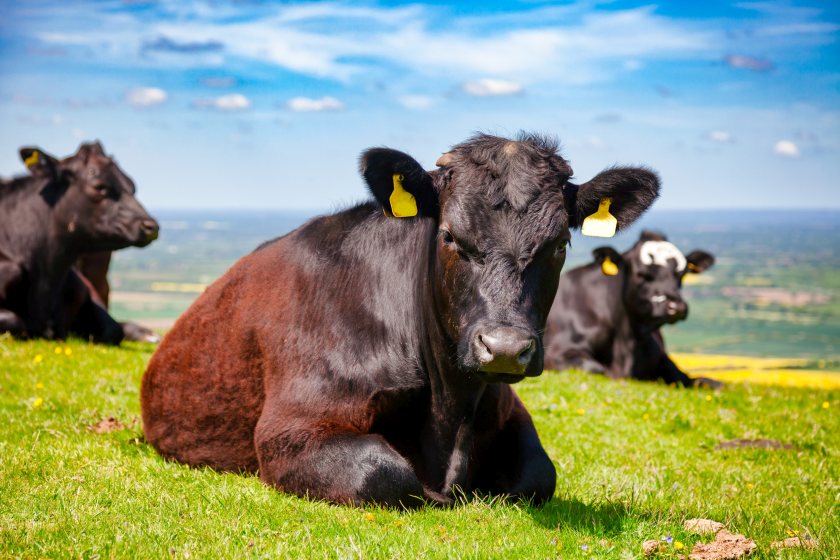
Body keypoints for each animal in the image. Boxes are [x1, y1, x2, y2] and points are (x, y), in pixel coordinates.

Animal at [141, 133, 660, 507]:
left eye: (558, 244)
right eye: (449, 235)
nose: (505, 348)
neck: (449, 416)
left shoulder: (509, 410)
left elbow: (538, 475)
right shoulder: (289, 428)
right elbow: (384, 472)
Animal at [543, 230, 719, 387]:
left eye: (682, 274)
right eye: (641, 274)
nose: (676, 306)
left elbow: (702, 381)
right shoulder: (558, 352)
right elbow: (595, 368)